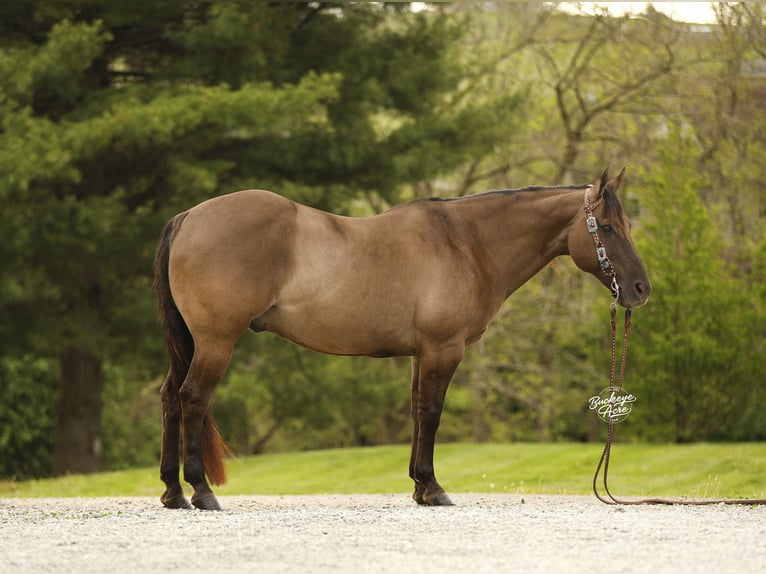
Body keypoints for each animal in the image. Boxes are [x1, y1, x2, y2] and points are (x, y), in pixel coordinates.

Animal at [154, 167, 650, 510]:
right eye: (607, 228)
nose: (640, 289)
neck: (467, 243)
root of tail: (187, 217)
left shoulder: (420, 353)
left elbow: (416, 411)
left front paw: (418, 486)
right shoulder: (442, 349)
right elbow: (431, 413)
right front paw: (433, 488)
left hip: (192, 344)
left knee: (170, 398)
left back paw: (173, 492)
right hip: (216, 341)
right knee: (192, 397)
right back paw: (201, 491)